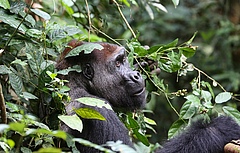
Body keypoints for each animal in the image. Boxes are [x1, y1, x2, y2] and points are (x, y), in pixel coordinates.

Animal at [56, 40, 240, 152]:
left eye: (124, 60)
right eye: (117, 63)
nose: (136, 75)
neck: (76, 83)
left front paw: (146, 64)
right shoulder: (97, 108)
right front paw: (219, 129)